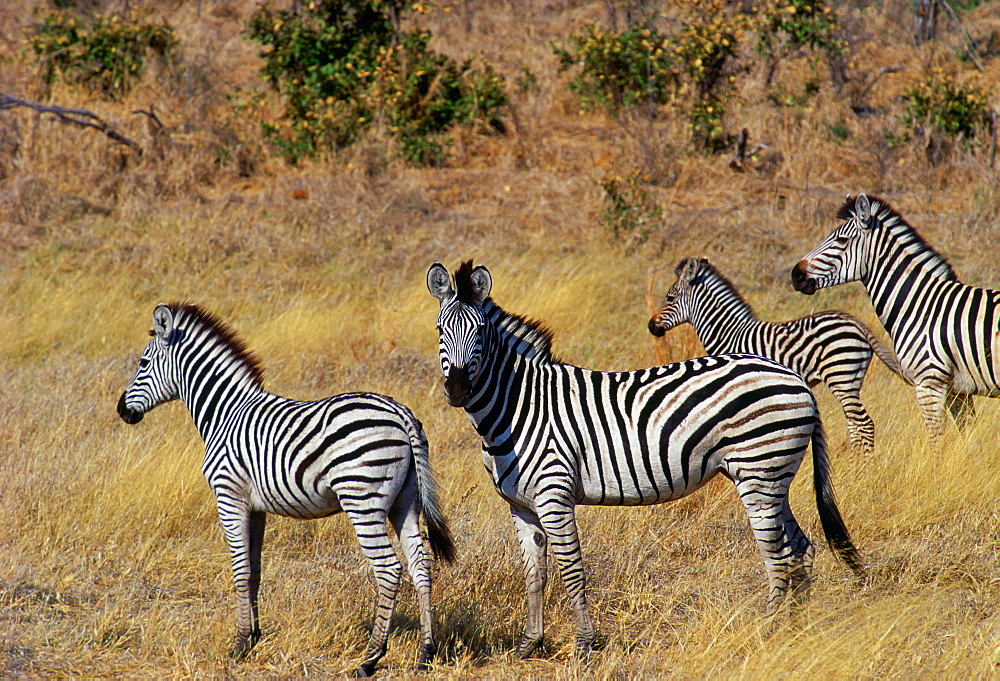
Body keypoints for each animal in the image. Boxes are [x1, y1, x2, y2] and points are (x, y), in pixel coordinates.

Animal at [115, 302, 456, 676]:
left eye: (143, 363)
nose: (121, 411)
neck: (224, 413)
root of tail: (401, 412)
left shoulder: (229, 497)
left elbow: (239, 570)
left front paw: (239, 645)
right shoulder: (255, 507)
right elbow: (254, 571)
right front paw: (254, 636)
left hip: (362, 500)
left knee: (389, 568)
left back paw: (370, 658)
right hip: (405, 501)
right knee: (420, 565)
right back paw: (425, 653)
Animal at [426, 258, 864, 660]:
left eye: (480, 332)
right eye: (439, 330)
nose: (458, 390)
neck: (520, 405)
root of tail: (794, 377)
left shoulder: (555, 495)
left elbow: (571, 570)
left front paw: (584, 645)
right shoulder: (521, 505)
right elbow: (535, 574)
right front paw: (530, 644)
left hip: (759, 472)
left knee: (779, 556)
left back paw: (766, 631)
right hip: (773, 476)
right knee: (801, 549)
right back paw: (794, 630)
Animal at [648, 255, 900, 456]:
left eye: (670, 298)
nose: (651, 327)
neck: (729, 332)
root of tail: (854, 322)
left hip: (841, 376)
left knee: (863, 423)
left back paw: (861, 466)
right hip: (851, 379)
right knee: (854, 424)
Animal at [792, 194, 996, 444]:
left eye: (841, 240)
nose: (795, 274)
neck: (922, 305)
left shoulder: (929, 382)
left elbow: (937, 443)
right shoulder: (955, 390)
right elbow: (968, 440)